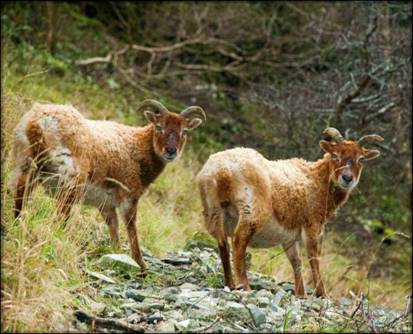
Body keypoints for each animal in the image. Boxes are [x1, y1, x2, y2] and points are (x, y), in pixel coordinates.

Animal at [11, 98, 206, 268]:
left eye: (185, 131)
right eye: (159, 127)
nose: (171, 151)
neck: (138, 147)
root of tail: (40, 123)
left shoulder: (106, 204)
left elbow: (114, 228)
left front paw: (116, 253)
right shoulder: (129, 195)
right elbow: (131, 226)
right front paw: (140, 263)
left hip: (25, 164)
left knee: (20, 200)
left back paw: (18, 226)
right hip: (70, 178)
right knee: (59, 216)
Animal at [197, 126, 384, 296]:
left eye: (361, 158)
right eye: (335, 155)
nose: (347, 178)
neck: (317, 180)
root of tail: (222, 171)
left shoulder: (289, 237)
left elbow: (296, 262)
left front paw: (301, 294)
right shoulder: (312, 227)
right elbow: (313, 259)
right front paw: (321, 294)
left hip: (214, 211)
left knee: (222, 244)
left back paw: (229, 283)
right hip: (252, 211)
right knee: (238, 242)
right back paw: (245, 286)